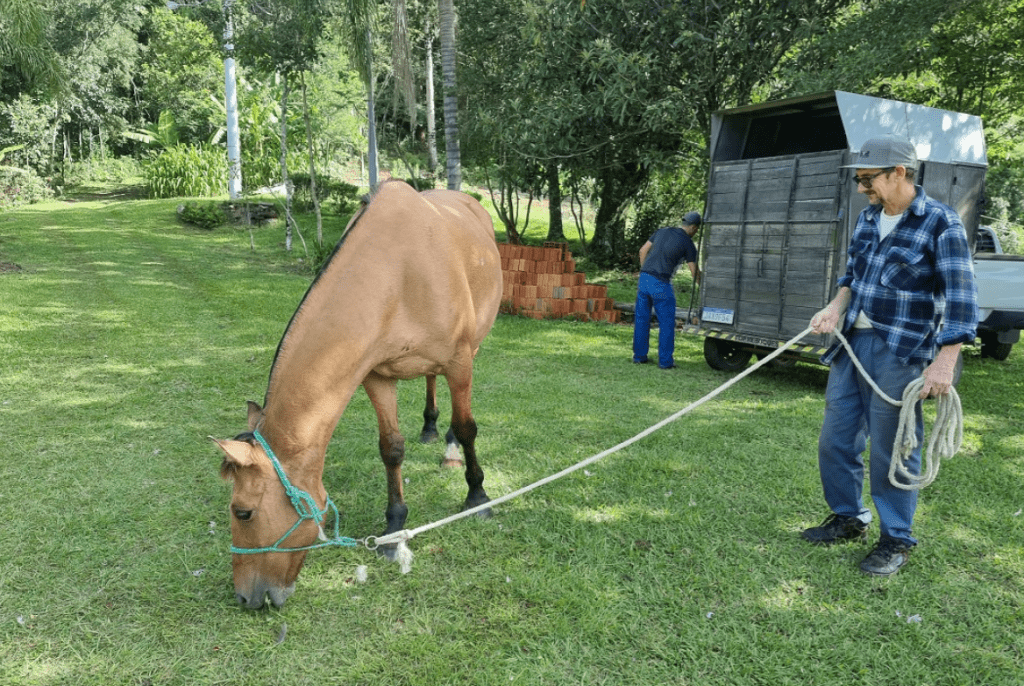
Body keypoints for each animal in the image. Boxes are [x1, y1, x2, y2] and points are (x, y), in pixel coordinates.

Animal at [212, 180, 503, 609]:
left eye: (243, 512)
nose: (245, 598)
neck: (398, 276)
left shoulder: (460, 361)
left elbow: (468, 428)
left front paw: (478, 496)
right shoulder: (376, 376)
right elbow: (391, 448)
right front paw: (394, 527)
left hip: (472, 350)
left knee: (456, 415)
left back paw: (450, 448)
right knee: (430, 383)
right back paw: (430, 428)